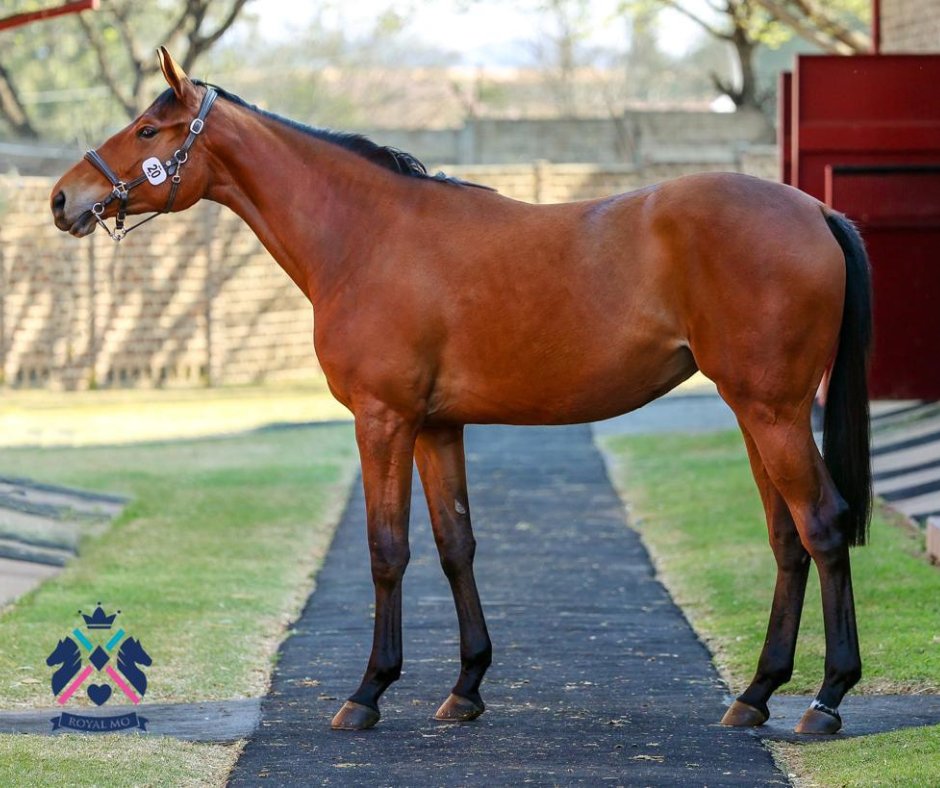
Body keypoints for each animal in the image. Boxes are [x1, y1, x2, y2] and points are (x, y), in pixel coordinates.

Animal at [51, 48, 872, 735]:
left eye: (148, 128)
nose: (63, 198)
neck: (367, 236)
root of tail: (814, 210)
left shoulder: (383, 421)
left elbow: (388, 549)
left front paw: (368, 692)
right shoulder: (436, 427)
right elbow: (456, 545)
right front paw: (467, 686)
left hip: (774, 414)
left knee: (823, 527)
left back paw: (828, 699)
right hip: (756, 413)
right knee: (787, 540)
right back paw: (756, 694)